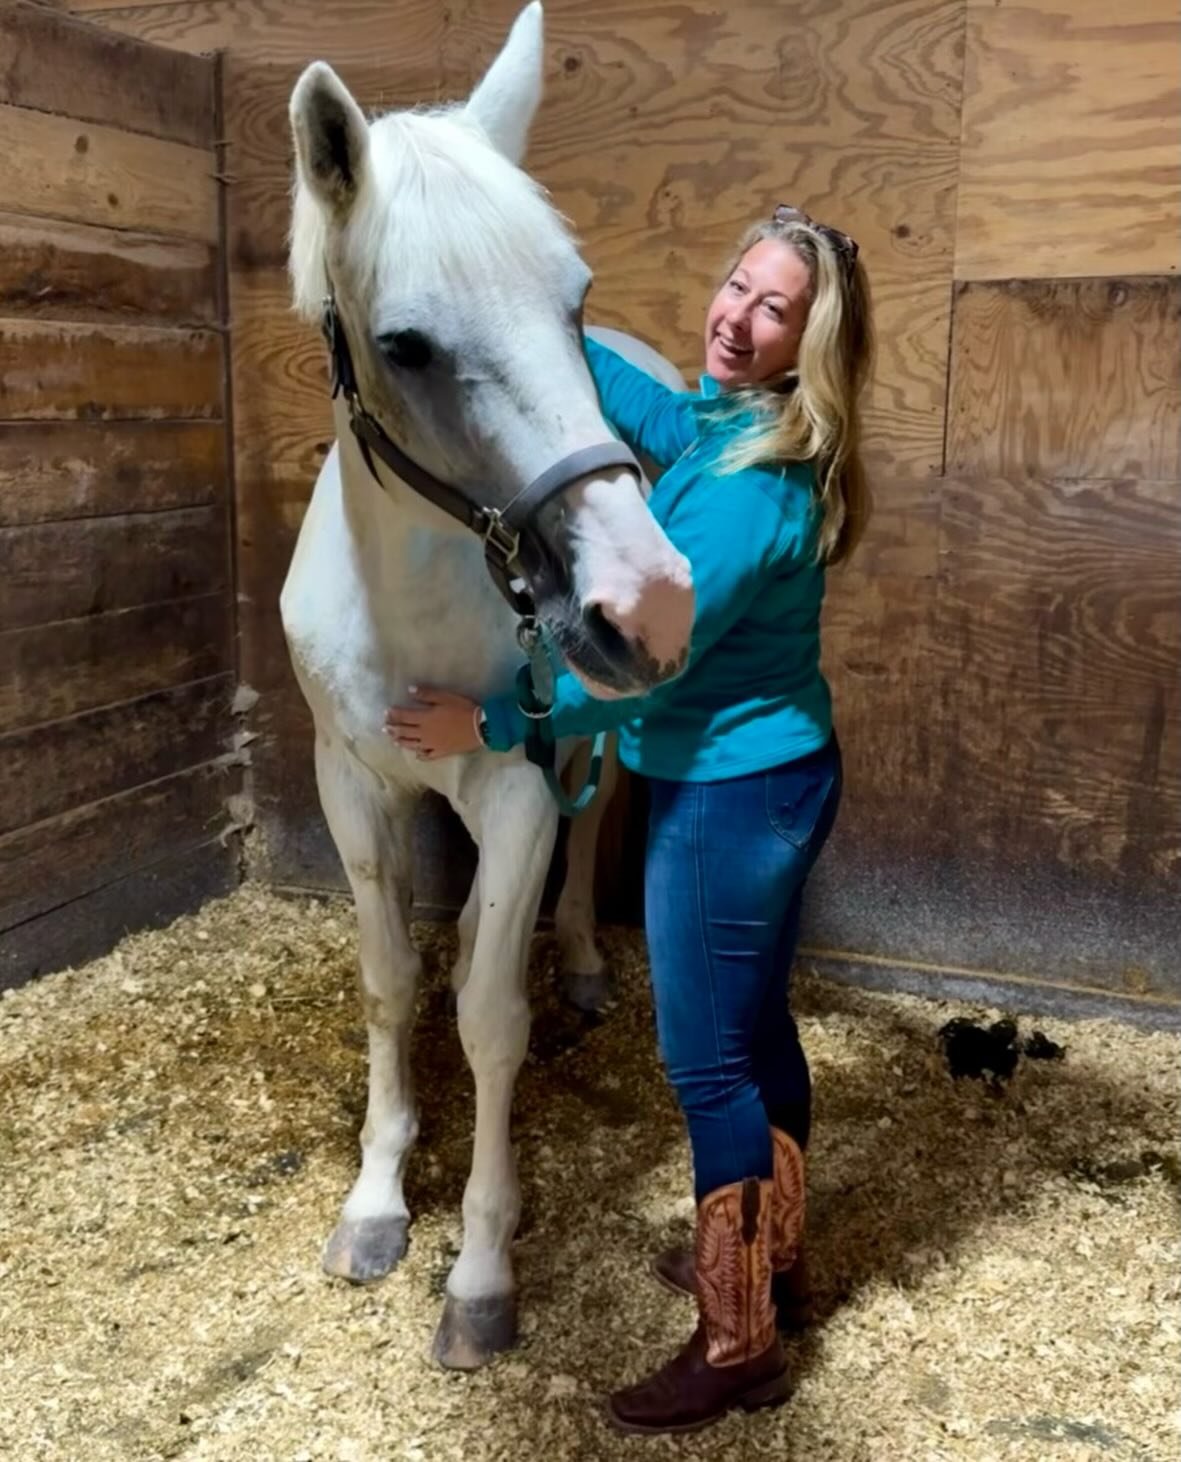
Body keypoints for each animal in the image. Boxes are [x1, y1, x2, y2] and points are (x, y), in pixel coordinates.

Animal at [280, 2, 694, 1370]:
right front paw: (372, 1205)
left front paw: (478, 1271)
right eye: (403, 344)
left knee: (585, 835)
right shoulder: (349, 785)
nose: (644, 598)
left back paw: (574, 960)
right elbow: (392, 983)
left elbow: (489, 1022)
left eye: (572, 299)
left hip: (591, 743)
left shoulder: (515, 794)